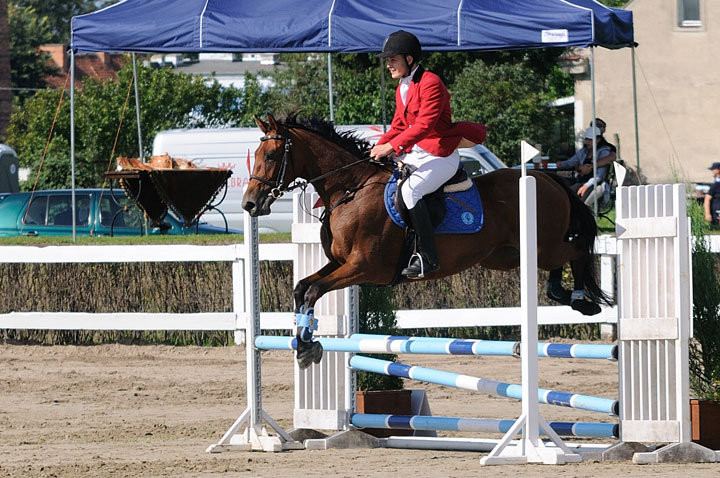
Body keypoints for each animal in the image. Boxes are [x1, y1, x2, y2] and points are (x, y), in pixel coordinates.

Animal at [243, 114, 612, 368]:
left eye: (272, 156)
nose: (249, 205)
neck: (350, 188)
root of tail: (545, 177)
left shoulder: (365, 267)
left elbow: (314, 291)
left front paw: (306, 347)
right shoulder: (339, 263)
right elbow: (302, 288)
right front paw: (305, 341)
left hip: (542, 244)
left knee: (575, 250)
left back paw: (581, 299)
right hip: (507, 255)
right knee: (557, 264)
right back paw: (564, 293)